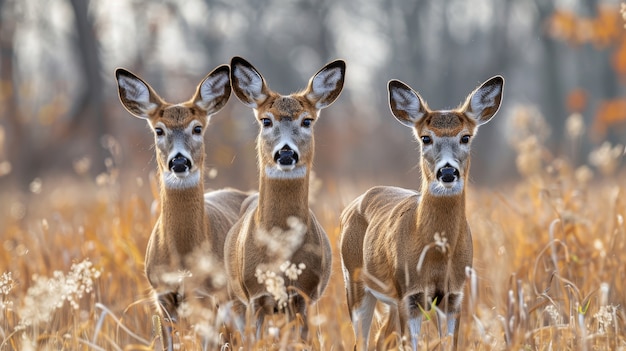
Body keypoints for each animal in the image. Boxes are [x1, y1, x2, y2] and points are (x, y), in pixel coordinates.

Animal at [222, 55, 344, 344]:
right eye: (266, 120)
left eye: (307, 121)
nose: (286, 153)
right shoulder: (255, 294)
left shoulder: (303, 294)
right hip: (235, 295)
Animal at [336, 75, 502, 350]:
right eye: (426, 138)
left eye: (465, 137)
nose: (448, 172)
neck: (436, 254)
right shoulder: (409, 294)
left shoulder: (454, 294)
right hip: (355, 281)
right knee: (362, 341)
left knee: (381, 339)